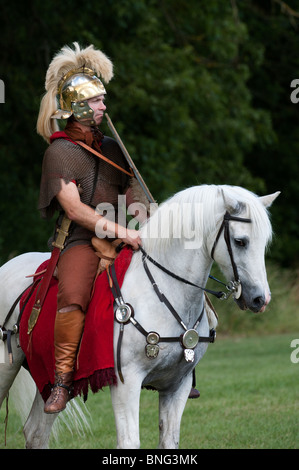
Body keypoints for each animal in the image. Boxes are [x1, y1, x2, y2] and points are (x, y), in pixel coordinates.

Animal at [0, 184, 282, 448]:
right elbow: (129, 441)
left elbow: (169, 441)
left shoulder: (177, 385)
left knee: (36, 432)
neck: (165, 288)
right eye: (241, 241)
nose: (260, 299)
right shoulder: (126, 382)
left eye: (264, 242)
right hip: (7, 366)